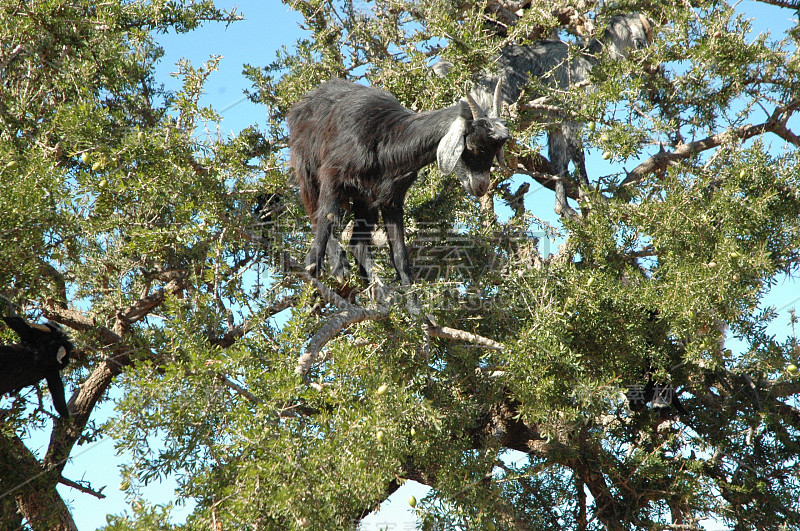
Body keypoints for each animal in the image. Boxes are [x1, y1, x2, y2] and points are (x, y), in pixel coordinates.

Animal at [290, 77, 510, 298]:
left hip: (364, 199)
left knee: (358, 243)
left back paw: (379, 291)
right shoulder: (332, 174)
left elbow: (400, 253)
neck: (387, 140)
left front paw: (413, 302)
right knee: (316, 216)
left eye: (496, 151)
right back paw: (340, 265)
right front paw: (313, 268)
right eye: (473, 146)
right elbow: (326, 219)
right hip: (307, 172)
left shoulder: (391, 199)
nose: (481, 186)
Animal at [472, 14, 652, 217]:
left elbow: (559, 163)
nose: (646, 49)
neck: (589, 61)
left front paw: (563, 208)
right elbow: (578, 156)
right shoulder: (570, 118)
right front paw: (588, 197)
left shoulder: (555, 125)